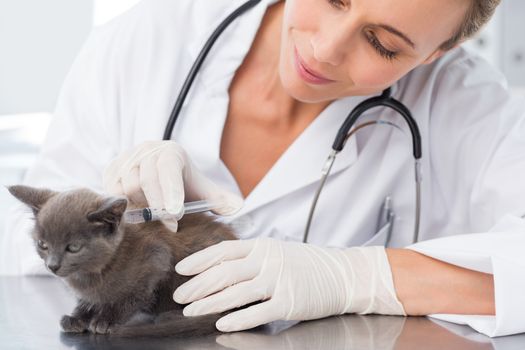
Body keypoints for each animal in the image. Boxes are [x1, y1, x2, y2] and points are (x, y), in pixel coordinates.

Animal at [8, 185, 236, 338]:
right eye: (43, 244)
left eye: (73, 247)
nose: (53, 265)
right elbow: (89, 299)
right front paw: (78, 317)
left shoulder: (156, 259)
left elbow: (133, 296)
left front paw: (105, 320)